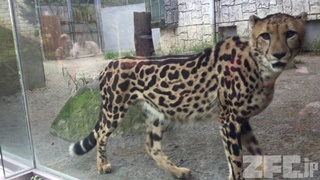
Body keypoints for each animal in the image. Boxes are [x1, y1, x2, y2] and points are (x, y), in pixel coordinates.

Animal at [69, 11, 308, 179]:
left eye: (290, 33)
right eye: (265, 35)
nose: (279, 54)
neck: (259, 66)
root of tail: (110, 63)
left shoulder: (241, 119)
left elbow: (258, 153)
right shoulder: (228, 118)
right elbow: (236, 160)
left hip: (155, 112)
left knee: (151, 145)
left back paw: (178, 172)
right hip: (114, 109)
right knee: (102, 134)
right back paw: (102, 165)